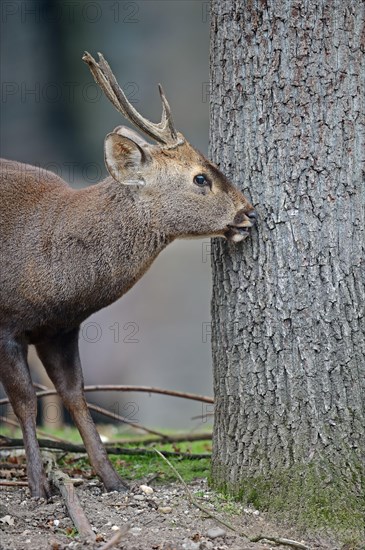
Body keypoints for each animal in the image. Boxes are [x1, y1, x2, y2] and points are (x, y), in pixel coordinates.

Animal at [0, 52, 256, 500]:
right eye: (200, 177)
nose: (249, 213)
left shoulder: (60, 329)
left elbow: (76, 396)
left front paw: (114, 480)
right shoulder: (7, 323)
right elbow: (26, 401)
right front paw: (37, 486)